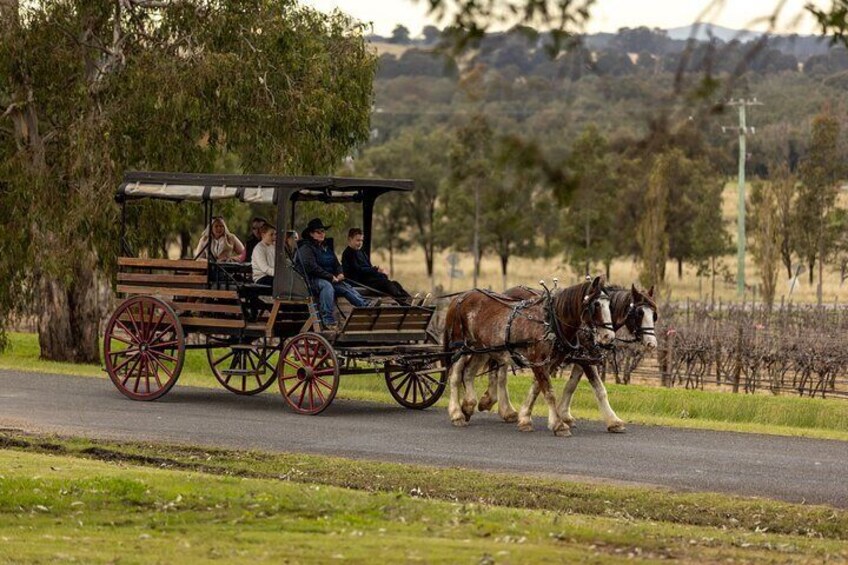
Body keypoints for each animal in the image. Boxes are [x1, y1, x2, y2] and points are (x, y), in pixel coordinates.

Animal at [440, 276, 612, 434]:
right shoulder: (539, 361)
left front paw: (525, 419)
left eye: (609, 304)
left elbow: (537, 389)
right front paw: (559, 425)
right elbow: (549, 392)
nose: (608, 337)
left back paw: (469, 406)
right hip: (461, 347)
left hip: (481, 349)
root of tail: (459, 297)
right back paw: (457, 414)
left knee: (469, 373)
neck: (550, 322)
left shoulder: (550, 363)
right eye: (596, 305)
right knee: (455, 376)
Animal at [476, 282, 656, 432]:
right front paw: (614, 421)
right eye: (639, 313)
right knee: (499, 373)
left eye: (654, 314)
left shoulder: (580, 358)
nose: (652, 343)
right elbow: (599, 389)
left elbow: (568, 385)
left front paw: (563, 415)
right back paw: (501, 407)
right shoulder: (583, 360)